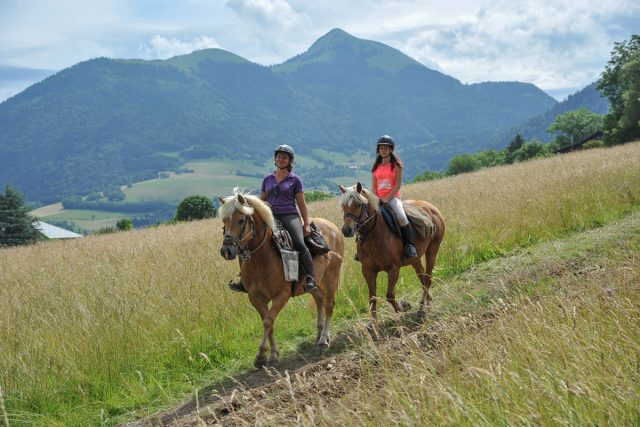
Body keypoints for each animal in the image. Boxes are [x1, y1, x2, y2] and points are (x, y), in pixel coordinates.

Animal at [219, 189, 342, 370]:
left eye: (241, 220)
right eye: (224, 221)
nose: (226, 251)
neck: (262, 258)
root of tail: (333, 227)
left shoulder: (282, 296)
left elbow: (268, 321)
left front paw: (261, 356)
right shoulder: (255, 298)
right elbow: (268, 323)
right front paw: (273, 355)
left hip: (332, 275)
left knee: (329, 304)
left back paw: (324, 340)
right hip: (313, 283)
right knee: (319, 299)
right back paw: (319, 335)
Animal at [340, 182, 444, 322]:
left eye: (359, 205)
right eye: (343, 206)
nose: (346, 230)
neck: (374, 236)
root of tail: (432, 208)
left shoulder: (394, 268)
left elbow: (389, 294)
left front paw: (403, 306)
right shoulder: (368, 271)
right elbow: (372, 298)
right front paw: (374, 325)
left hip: (432, 250)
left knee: (427, 278)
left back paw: (422, 309)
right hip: (414, 258)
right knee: (422, 276)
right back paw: (428, 301)